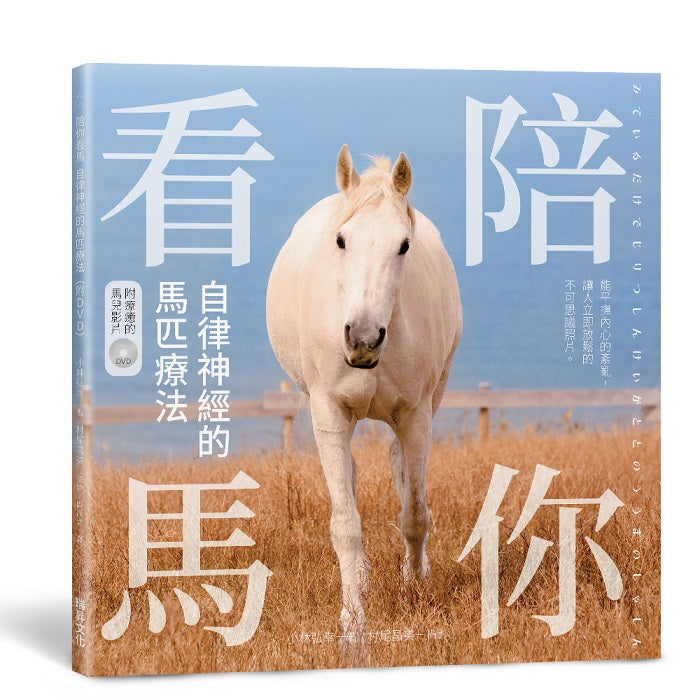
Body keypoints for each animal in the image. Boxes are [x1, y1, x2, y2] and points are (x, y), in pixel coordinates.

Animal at [266, 145, 463, 640]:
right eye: (341, 240)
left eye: (404, 244)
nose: (363, 338)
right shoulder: (329, 412)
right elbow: (346, 523)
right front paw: (353, 619)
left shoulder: (416, 415)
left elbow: (415, 512)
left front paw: (415, 587)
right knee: (351, 482)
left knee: (400, 471)